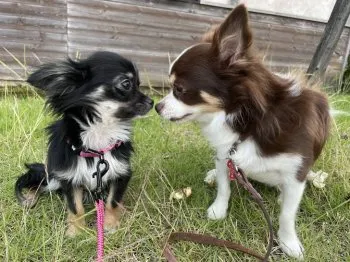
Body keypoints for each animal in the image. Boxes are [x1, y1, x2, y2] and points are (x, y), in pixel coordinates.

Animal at [15, 51, 153, 235]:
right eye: (126, 84)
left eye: (139, 84)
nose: (152, 102)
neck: (99, 134)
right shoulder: (69, 178)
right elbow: (76, 207)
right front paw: (77, 231)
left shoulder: (120, 173)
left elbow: (112, 202)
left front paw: (110, 225)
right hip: (53, 179)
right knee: (40, 185)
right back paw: (30, 197)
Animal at [154, 4, 330, 260]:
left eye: (179, 89)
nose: (156, 107)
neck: (247, 124)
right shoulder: (224, 154)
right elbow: (224, 188)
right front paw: (218, 210)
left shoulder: (296, 172)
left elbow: (287, 215)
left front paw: (288, 243)